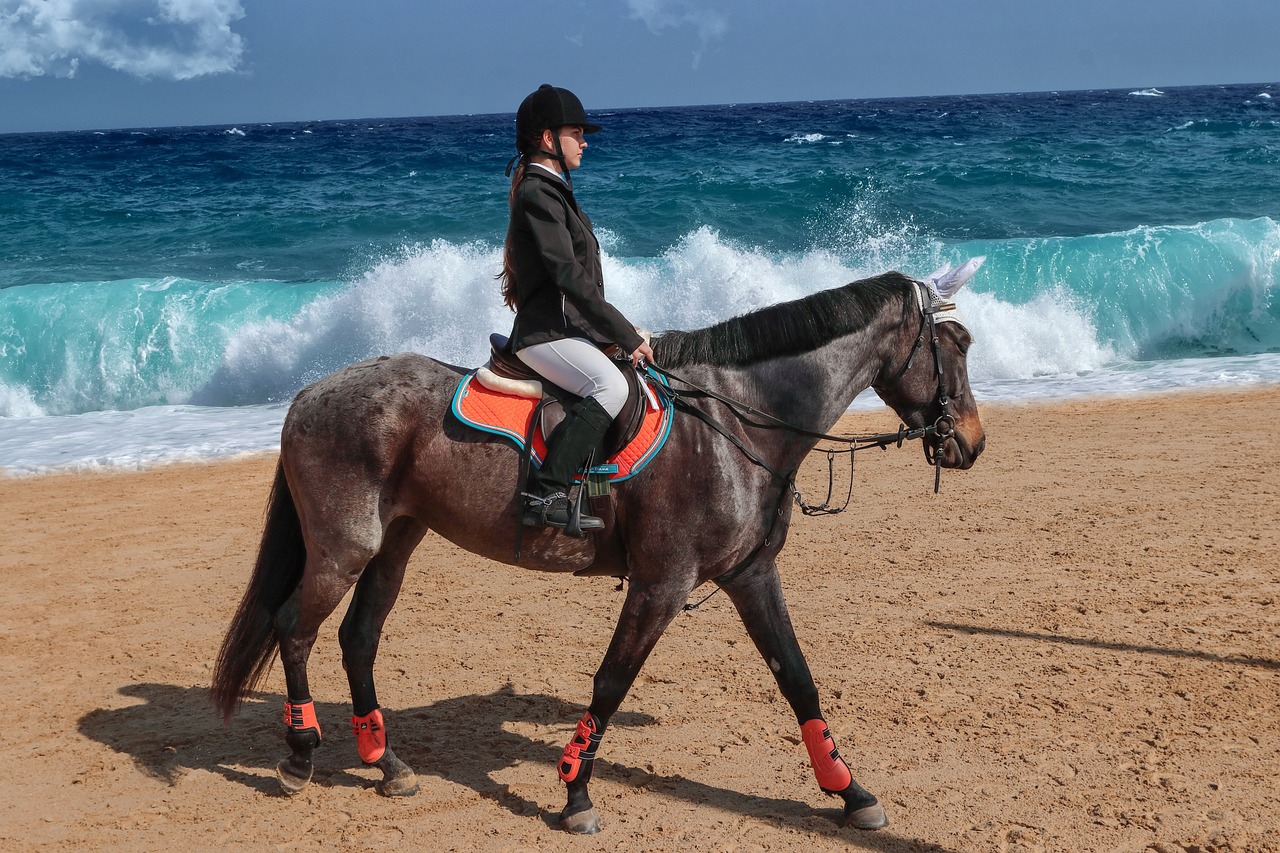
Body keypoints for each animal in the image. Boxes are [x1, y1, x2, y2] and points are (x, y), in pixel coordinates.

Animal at [212, 267, 988, 829]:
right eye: (956, 345)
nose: (973, 443)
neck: (735, 422)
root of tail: (312, 392)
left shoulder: (750, 573)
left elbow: (797, 678)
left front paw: (851, 791)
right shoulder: (661, 583)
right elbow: (612, 682)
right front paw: (576, 791)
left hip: (396, 541)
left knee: (358, 636)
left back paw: (387, 763)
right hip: (345, 545)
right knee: (295, 627)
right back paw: (301, 754)